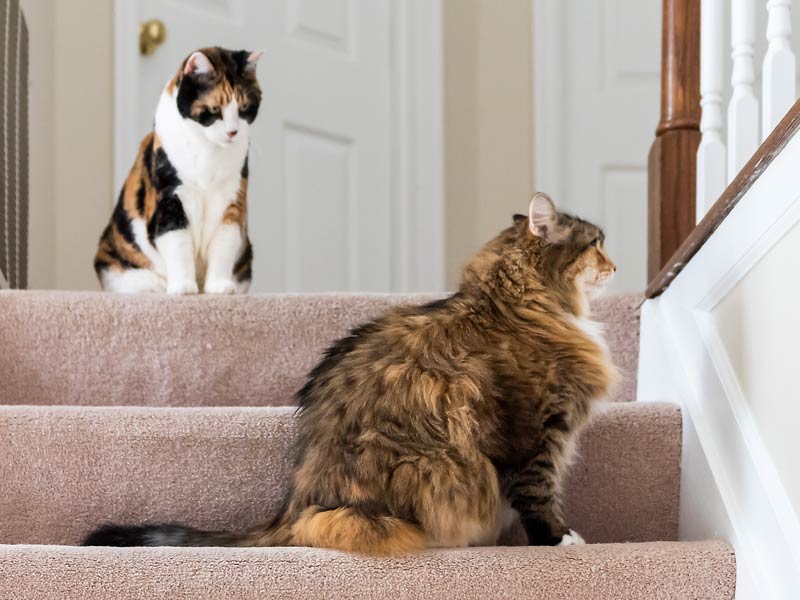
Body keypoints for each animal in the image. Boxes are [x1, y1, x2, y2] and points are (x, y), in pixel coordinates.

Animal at [93, 45, 262, 294]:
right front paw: (183, 288)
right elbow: (177, 243)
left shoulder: (233, 200)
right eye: (215, 109)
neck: (208, 151)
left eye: (244, 108)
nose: (233, 132)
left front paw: (219, 287)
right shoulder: (170, 198)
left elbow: (225, 242)